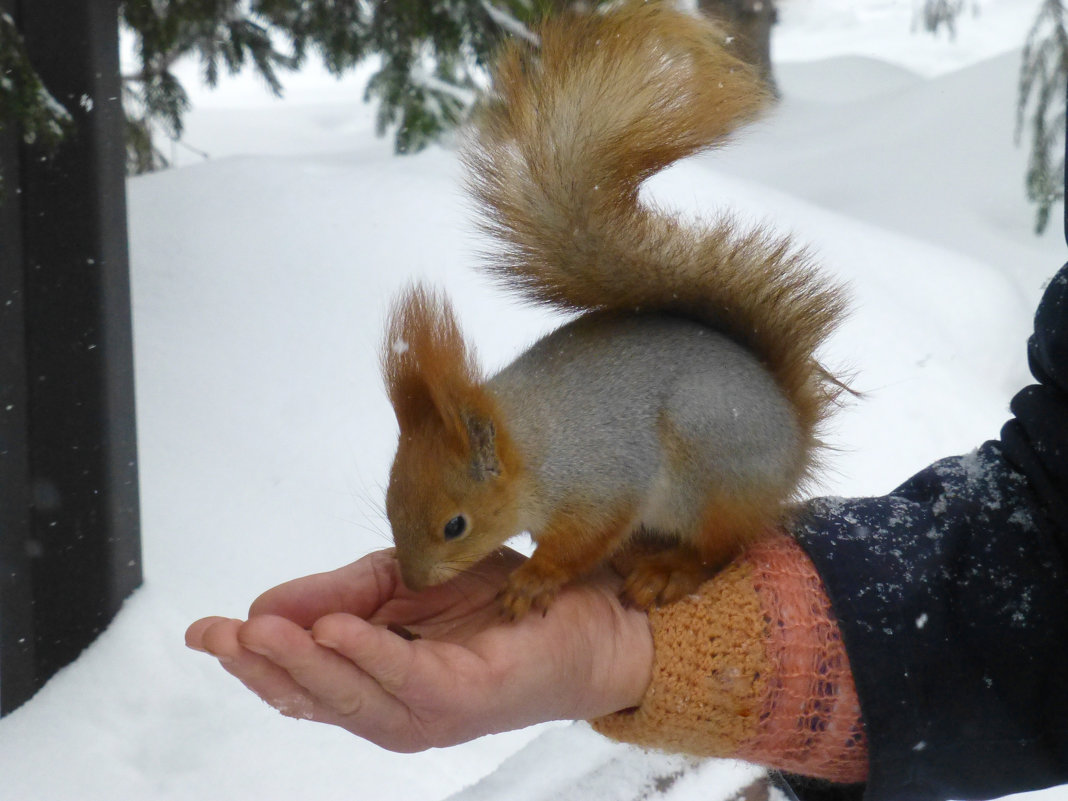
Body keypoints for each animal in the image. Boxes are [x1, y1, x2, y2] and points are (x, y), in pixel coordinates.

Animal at [380, 0, 845, 619]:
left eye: (456, 525)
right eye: (389, 501)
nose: (411, 581)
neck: (533, 449)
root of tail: (795, 444)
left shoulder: (601, 482)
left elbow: (584, 541)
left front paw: (534, 579)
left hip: (710, 465)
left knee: (718, 549)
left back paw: (668, 572)